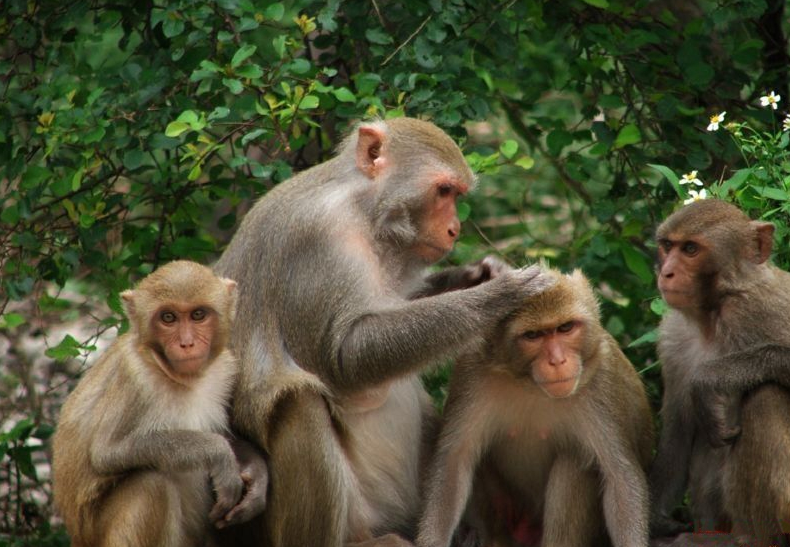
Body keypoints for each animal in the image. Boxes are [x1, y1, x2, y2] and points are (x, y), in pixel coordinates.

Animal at [53, 262, 270, 547]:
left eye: (198, 314)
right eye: (168, 318)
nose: (187, 343)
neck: (178, 377)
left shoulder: (225, 370)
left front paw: (256, 477)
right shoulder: (134, 379)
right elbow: (107, 452)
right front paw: (219, 454)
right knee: (151, 483)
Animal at [213, 116, 552, 547]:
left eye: (456, 194)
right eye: (444, 191)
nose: (455, 229)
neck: (361, 211)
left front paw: (479, 274)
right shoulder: (317, 243)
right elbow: (344, 358)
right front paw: (498, 295)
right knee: (299, 403)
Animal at [414, 268, 656, 547]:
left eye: (565, 327)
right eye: (533, 336)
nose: (557, 361)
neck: (529, 385)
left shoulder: (602, 381)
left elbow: (621, 479)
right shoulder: (471, 372)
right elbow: (454, 462)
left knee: (574, 461)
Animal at [648, 199, 790, 544]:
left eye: (690, 249)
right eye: (668, 245)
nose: (667, 272)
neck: (713, 316)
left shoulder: (762, 309)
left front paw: (710, 378)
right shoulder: (673, 338)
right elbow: (678, 430)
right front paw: (653, 521)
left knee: (765, 395)